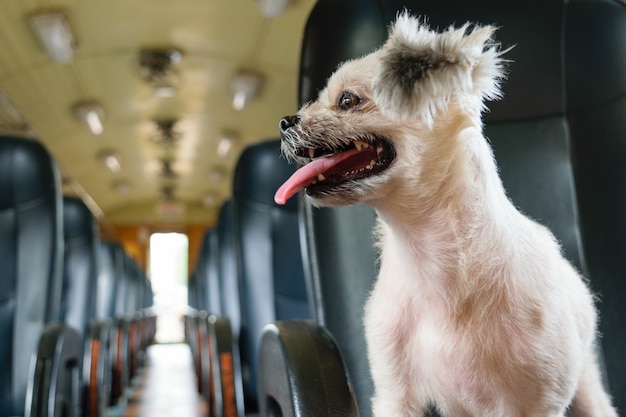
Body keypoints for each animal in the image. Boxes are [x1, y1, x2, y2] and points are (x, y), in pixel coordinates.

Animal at [272, 13, 616, 416]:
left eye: (347, 100)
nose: (285, 121)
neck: (429, 256)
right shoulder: (394, 393)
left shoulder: (536, 401)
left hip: (587, 386)